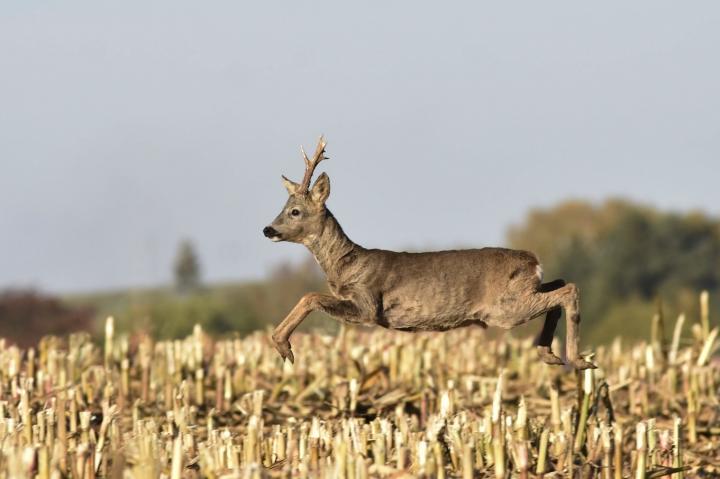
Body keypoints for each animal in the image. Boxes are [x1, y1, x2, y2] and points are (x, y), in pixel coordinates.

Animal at [264, 137, 596, 370]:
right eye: (282, 208)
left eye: (295, 211)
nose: (268, 229)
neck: (346, 265)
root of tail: (534, 262)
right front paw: (282, 344)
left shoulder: (368, 304)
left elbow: (310, 296)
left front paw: (283, 345)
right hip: (520, 294)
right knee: (560, 285)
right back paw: (550, 354)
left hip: (504, 307)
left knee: (568, 290)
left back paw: (578, 360)